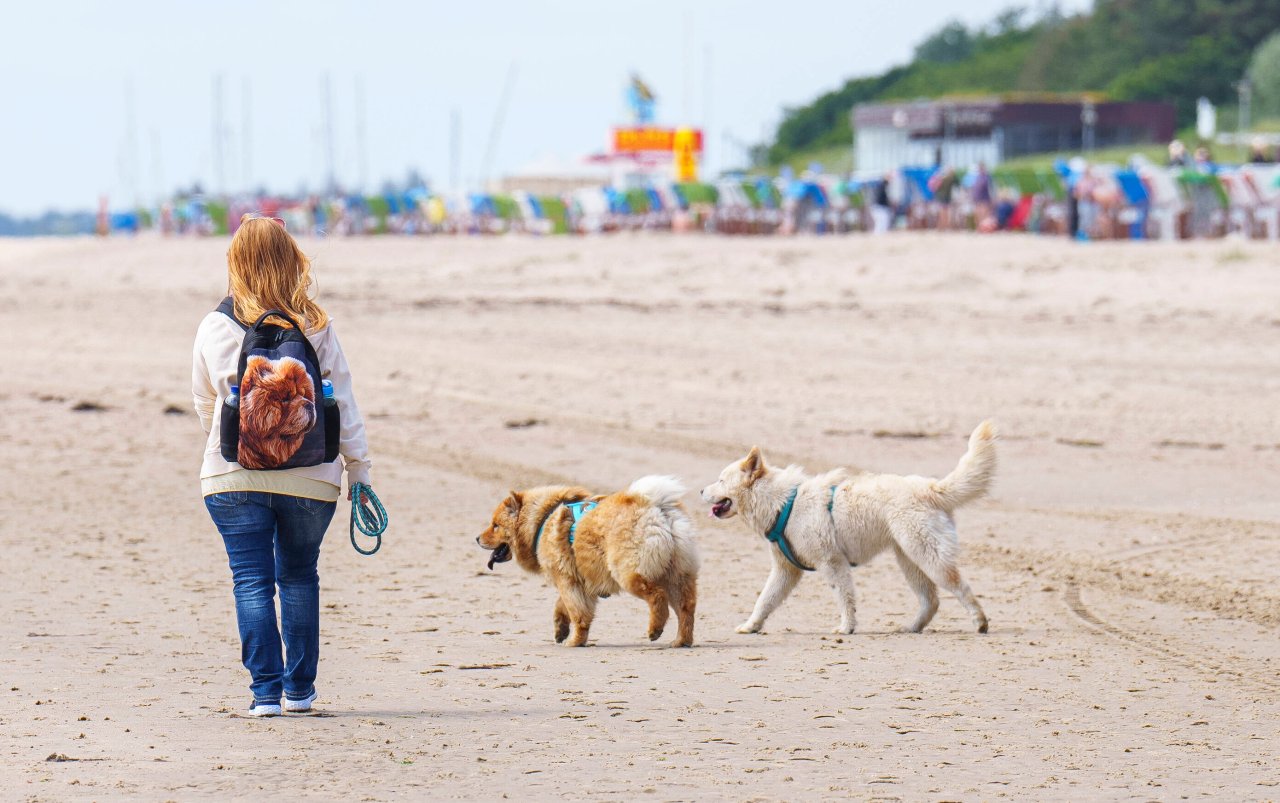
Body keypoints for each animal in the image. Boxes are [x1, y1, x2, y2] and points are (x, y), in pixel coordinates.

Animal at [478, 476, 701, 648]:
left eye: (495, 526)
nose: (477, 538)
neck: (542, 520)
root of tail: (656, 507)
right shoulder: (580, 582)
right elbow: (562, 607)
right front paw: (561, 629)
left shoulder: (567, 580)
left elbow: (579, 615)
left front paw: (575, 641)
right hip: (678, 574)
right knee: (686, 608)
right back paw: (681, 641)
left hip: (630, 574)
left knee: (657, 597)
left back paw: (655, 630)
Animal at [706, 425, 993, 637]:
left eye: (720, 480)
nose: (700, 490)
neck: (783, 502)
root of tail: (932, 488)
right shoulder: (785, 570)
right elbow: (765, 600)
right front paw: (751, 626)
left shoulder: (832, 562)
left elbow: (844, 597)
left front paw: (846, 628)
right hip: (910, 559)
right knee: (931, 600)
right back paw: (912, 627)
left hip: (928, 555)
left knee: (959, 586)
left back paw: (979, 622)